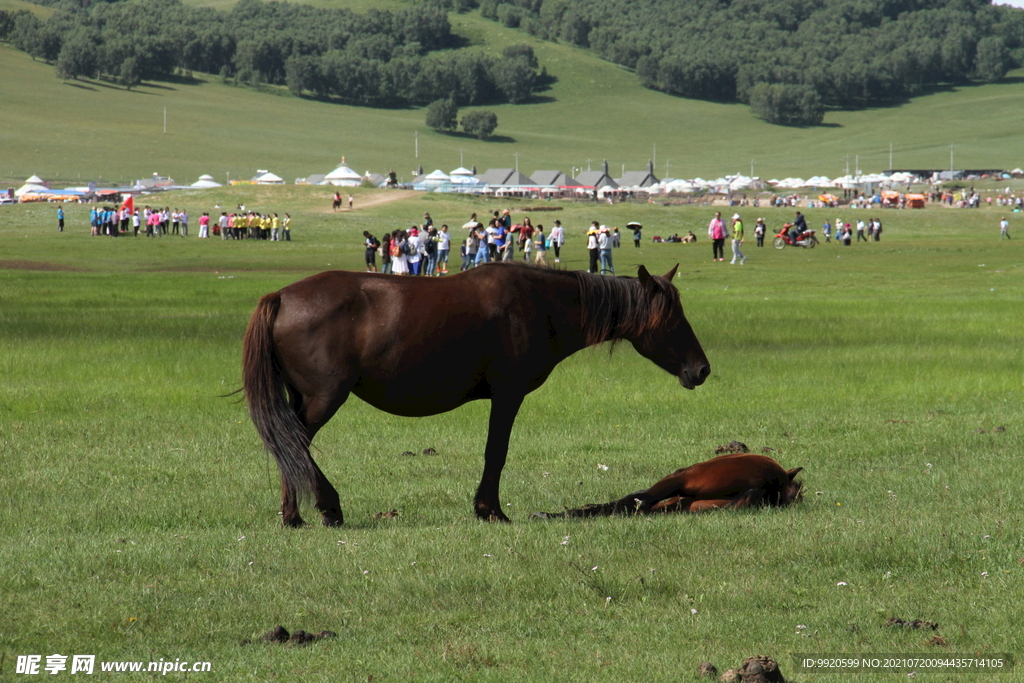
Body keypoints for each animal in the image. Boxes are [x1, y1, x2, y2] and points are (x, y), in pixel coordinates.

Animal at [243, 264, 712, 528]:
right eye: (671, 319)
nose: (701, 369)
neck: (539, 303)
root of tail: (282, 297)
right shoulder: (508, 395)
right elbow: (496, 452)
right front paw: (490, 510)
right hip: (324, 398)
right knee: (296, 445)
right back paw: (325, 507)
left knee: (290, 447)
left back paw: (294, 514)